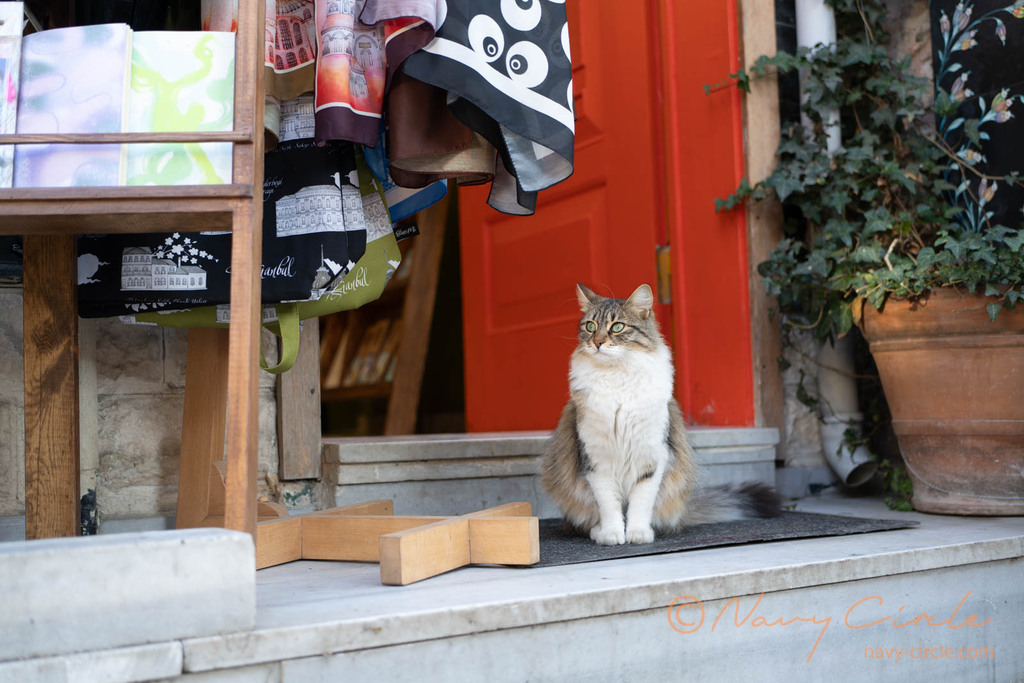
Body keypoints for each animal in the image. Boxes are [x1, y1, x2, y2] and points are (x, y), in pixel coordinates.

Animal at [540, 282, 778, 544]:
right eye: (590, 327)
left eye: (617, 327)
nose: (597, 343)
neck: (616, 376)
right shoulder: (596, 461)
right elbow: (609, 505)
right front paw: (612, 534)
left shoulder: (652, 458)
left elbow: (640, 504)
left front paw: (637, 534)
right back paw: (597, 531)